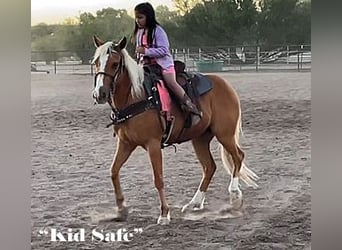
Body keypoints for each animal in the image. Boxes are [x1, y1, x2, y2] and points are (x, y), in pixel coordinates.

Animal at [92, 35, 258, 225]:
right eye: (96, 62)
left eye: (114, 64)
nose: (100, 93)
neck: (136, 96)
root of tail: (225, 85)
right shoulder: (126, 143)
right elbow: (113, 171)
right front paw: (121, 209)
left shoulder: (153, 144)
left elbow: (158, 179)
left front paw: (164, 214)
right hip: (200, 138)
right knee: (210, 167)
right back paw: (194, 203)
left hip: (225, 134)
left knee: (238, 156)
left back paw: (234, 194)